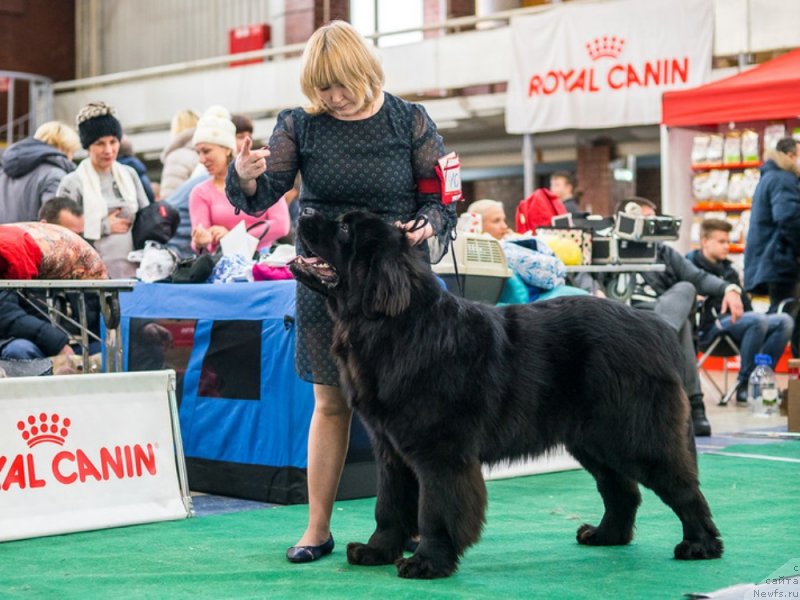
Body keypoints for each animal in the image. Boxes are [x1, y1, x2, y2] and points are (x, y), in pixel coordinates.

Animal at [290, 210, 724, 576]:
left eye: (345, 229)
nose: (305, 211)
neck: (394, 327)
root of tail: (655, 327)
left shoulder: (440, 453)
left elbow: (435, 510)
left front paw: (427, 562)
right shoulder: (391, 450)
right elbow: (389, 506)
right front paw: (376, 551)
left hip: (636, 436)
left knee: (682, 487)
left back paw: (700, 545)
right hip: (593, 440)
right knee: (621, 490)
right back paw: (605, 536)